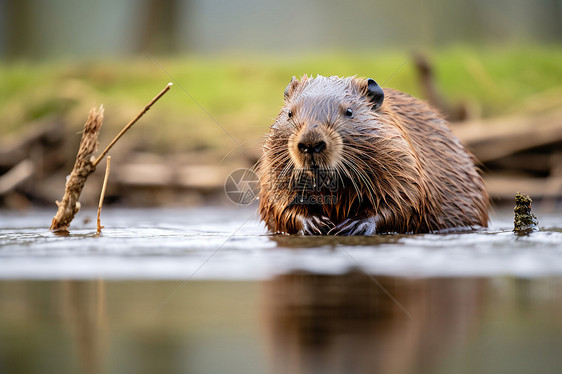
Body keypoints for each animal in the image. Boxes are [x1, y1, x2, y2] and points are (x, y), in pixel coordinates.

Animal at [256, 74, 488, 235]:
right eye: (289, 113)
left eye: (349, 112)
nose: (311, 143)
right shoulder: (274, 163)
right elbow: (277, 200)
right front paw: (315, 223)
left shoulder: (401, 156)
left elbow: (406, 198)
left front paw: (355, 225)